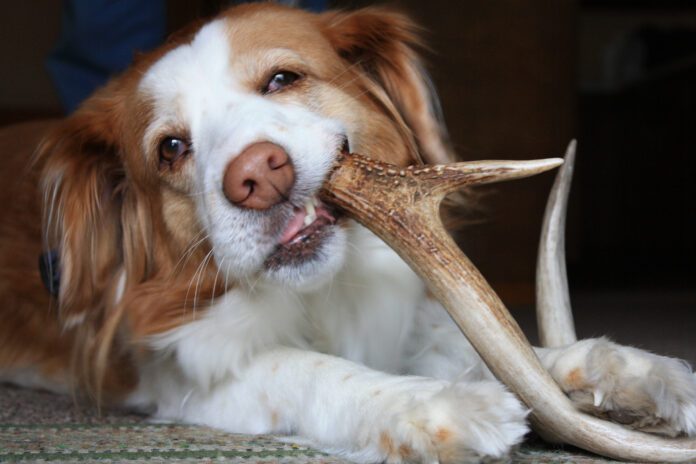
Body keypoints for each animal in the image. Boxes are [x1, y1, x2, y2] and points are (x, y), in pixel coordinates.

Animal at [1, 4, 696, 464]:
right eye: (171, 148)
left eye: (283, 79)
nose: (257, 175)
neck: (323, 292)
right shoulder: (188, 371)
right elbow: (307, 368)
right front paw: (436, 405)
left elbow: (502, 351)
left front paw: (632, 370)